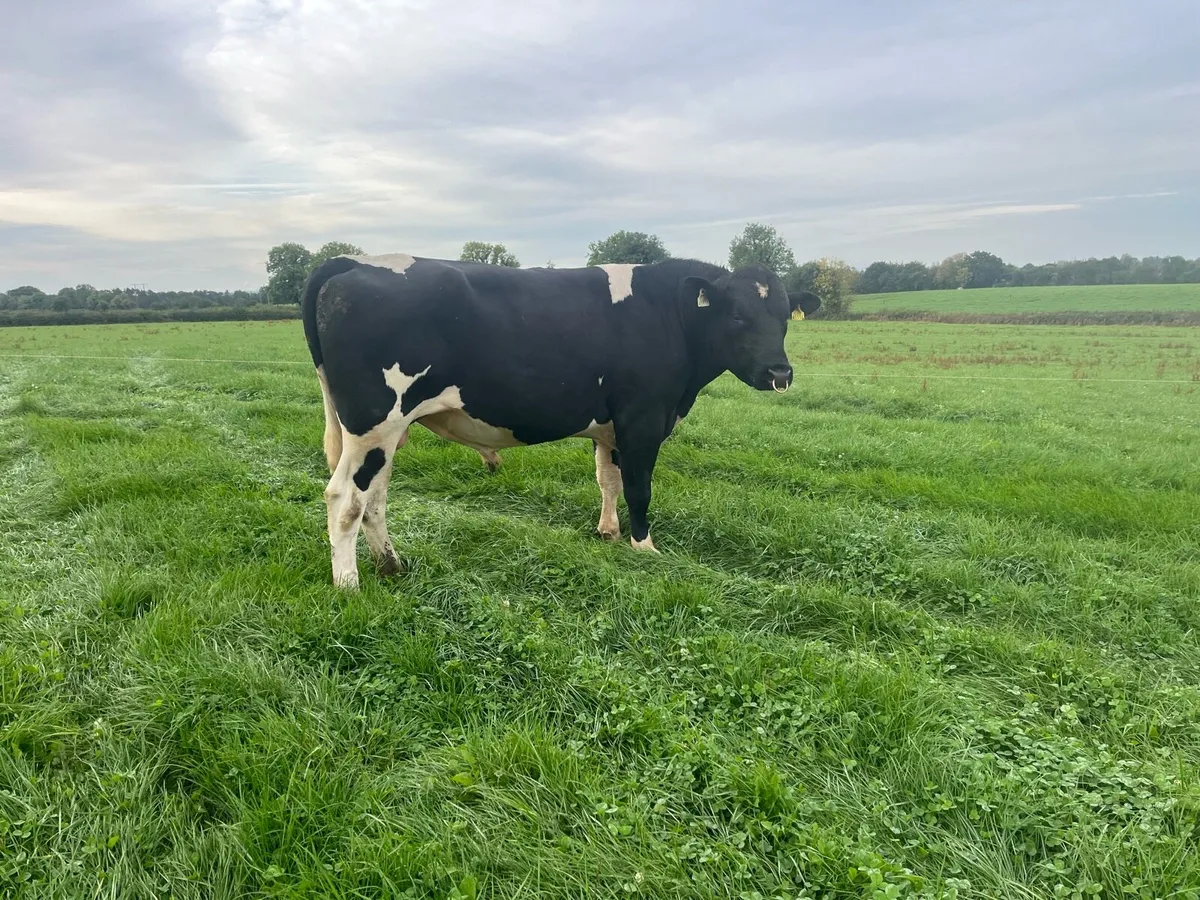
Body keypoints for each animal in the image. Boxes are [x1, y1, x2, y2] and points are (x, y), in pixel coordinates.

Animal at [301, 253, 821, 589]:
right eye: (736, 316)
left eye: (784, 316)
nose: (779, 373)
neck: (670, 313)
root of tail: (350, 260)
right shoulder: (643, 417)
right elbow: (639, 487)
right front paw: (644, 547)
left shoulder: (611, 425)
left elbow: (608, 479)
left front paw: (609, 533)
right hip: (374, 421)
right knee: (345, 497)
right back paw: (349, 584)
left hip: (387, 431)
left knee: (374, 497)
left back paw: (391, 565)